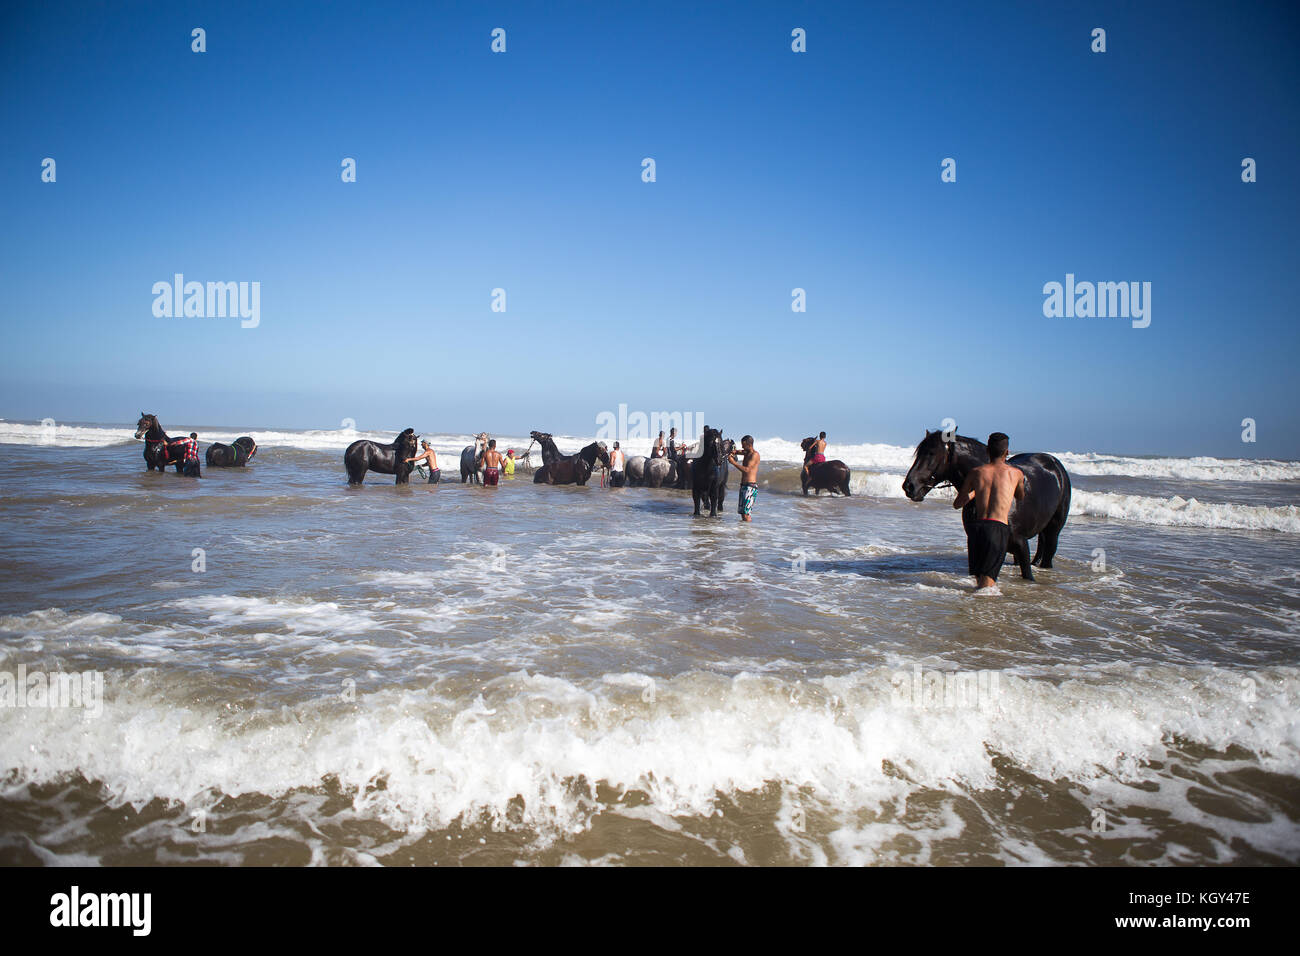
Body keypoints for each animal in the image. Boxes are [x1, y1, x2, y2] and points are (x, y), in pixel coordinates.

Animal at [899, 429, 1071, 580]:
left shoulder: (1021, 544)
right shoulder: (975, 543)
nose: (909, 486)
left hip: (1053, 532)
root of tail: (1055, 465)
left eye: (931, 453)